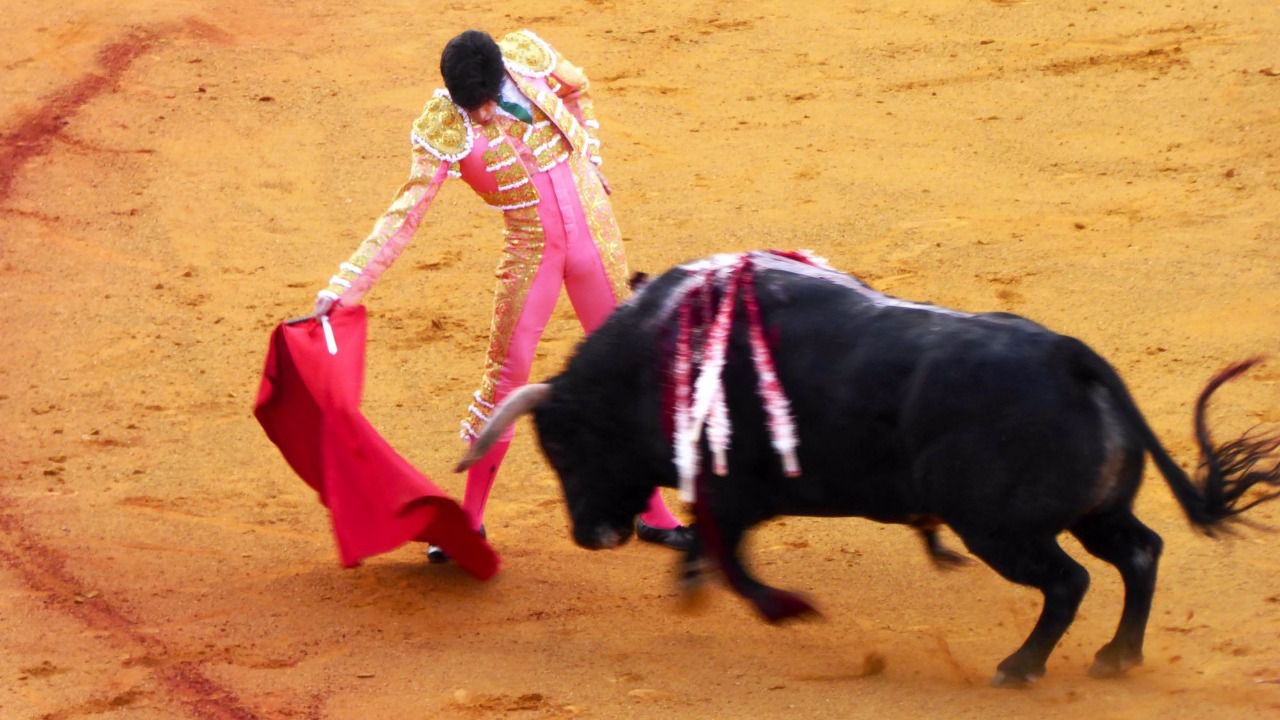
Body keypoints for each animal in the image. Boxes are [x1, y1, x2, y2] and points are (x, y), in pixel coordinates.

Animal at [455, 251, 1274, 681]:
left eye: (564, 447)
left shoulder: (736, 493)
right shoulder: (727, 498)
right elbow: (711, 549)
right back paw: (1117, 657)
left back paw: (1021, 666)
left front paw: (787, 609)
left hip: (1003, 531)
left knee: (1069, 582)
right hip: (1095, 511)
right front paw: (695, 586)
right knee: (1139, 554)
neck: (654, 357)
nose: (592, 535)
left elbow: (733, 559)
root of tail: (1069, 356)